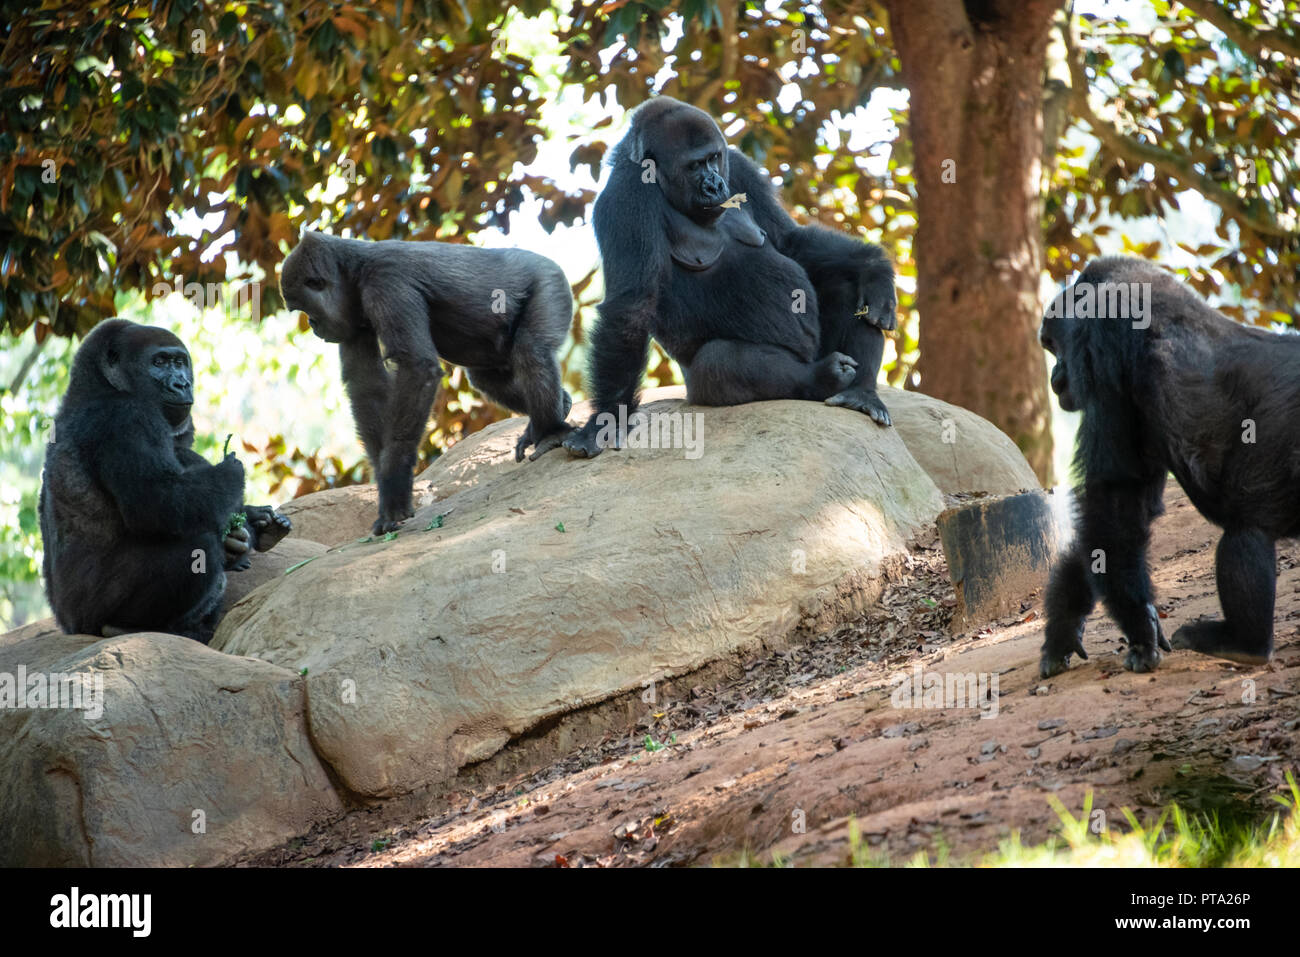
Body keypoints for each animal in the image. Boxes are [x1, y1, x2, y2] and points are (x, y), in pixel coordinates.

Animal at [39, 319, 291, 642]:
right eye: (159, 362)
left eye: (179, 363)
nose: (182, 384)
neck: (97, 385)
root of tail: (66, 623)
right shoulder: (126, 416)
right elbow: (160, 501)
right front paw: (232, 474)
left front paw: (253, 522)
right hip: (89, 614)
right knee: (198, 543)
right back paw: (128, 626)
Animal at [282, 228, 572, 535]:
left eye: (302, 307)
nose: (312, 325)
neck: (353, 269)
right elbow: (366, 386)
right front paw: (384, 485)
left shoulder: (386, 282)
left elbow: (417, 368)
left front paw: (394, 484)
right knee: (486, 377)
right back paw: (557, 408)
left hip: (549, 279)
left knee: (532, 350)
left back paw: (551, 432)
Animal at [564, 95, 899, 457]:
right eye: (694, 166)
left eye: (713, 158)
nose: (715, 185)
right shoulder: (626, 197)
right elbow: (631, 307)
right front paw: (607, 417)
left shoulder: (738, 166)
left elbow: (789, 240)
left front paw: (874, 267)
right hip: (699, 388)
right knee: (719, 363)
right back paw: (820, 377)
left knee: (850, 288)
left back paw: (862, 392)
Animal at [1040, 257, 1300, 676]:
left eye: (1054, 347)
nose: (1055, 378)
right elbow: (1125, 508)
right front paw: (1063, 627)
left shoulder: (1101, 338)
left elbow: (1113, 497)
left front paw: (1138, 626)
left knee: (1244, 532)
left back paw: (1245, 644)